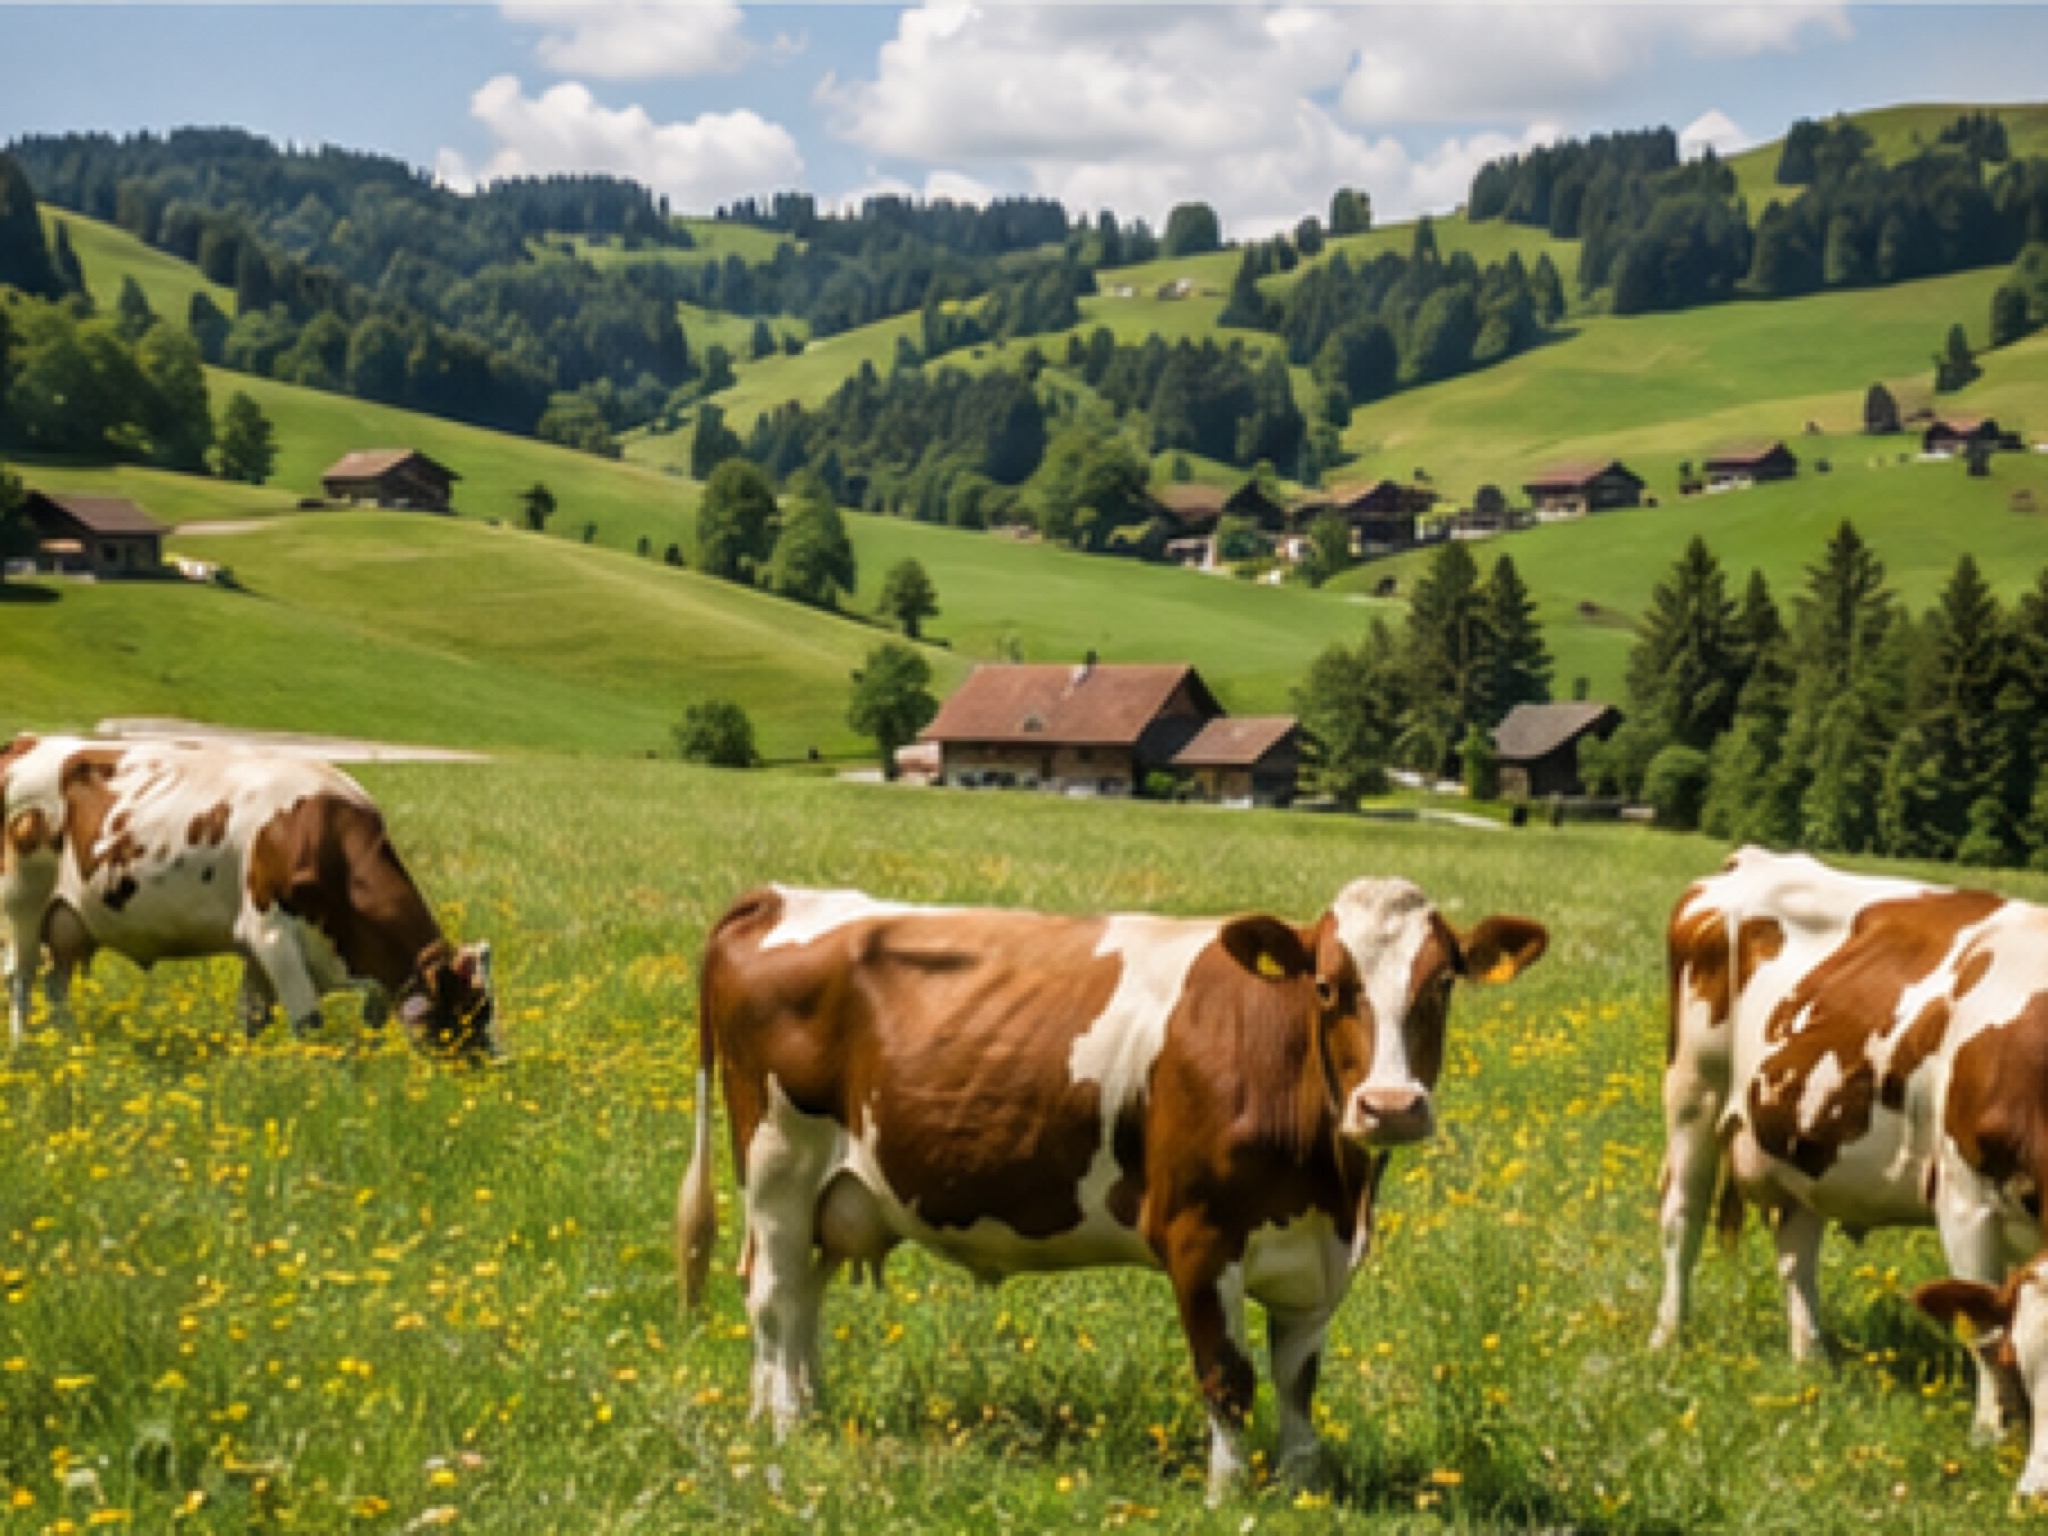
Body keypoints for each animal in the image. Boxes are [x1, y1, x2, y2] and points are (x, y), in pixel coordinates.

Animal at [1, 734, 498, 1059]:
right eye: (471, 1009)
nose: (499, 1066)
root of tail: (26, 740)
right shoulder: (272, 933)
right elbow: (306, 1023)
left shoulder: (259, 949)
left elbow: (253, 1018)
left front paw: (248, 1071)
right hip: (21, 899)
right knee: (21, 976)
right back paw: (25, 1051)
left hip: (67, 923)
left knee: (55, 982)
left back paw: (70, 1044)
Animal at [676, 880, 1547, 1502]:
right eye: (1328, 987)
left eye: (1443, 984)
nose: (1390, 1106)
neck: (1334, 1185)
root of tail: (785, 895)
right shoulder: (1200, 1237)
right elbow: (1228, 1377)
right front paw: (1228, 1498)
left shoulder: (1317, 1256)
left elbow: (1299, 1384)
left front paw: (1302, 1492)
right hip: (778, 1163)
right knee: (775, 1294)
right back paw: (787, 1428)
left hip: (839, 1191)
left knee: (803, 1298)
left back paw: (805, 1409)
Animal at [1653, 844, 2048, 1451]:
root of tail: (1750, 858)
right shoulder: (1964, 1201)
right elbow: (1983, 1329)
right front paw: (1992, 1436)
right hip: (1694, 1091)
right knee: (1682, 1215)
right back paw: (1669, 1338)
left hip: (1799, 1139)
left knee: (1796, 1252)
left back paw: (1812, 1361)